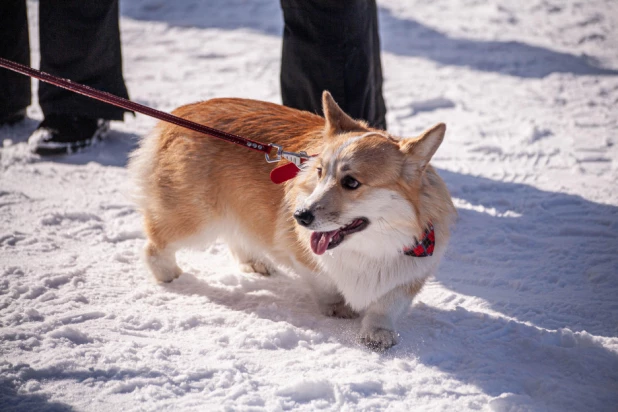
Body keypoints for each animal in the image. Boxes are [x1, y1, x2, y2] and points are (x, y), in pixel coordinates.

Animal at [127, 92, 454, 350]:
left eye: (351, 182)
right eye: (319, 172)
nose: (300, 216)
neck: (370, 247)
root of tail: (180, 114)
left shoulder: (412, 271)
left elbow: (387, 304)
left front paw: (378, 333)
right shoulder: (303, 255)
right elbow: (325, 283)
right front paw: (337, 308)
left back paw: (254, 262)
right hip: (196, 219)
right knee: (155, 243)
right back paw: (168, 275)